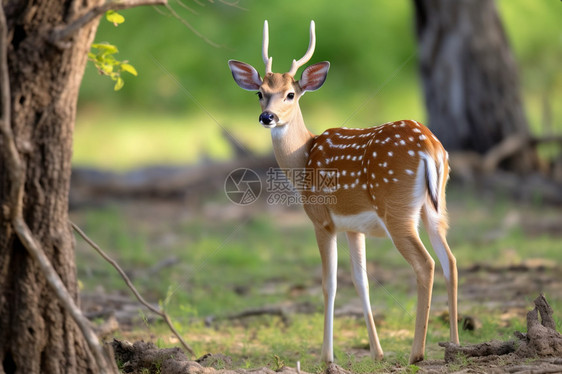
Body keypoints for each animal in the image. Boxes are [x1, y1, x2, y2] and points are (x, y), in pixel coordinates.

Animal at [229, 21, 460, 366]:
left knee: (426, 264)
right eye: (260, 93)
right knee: (451, 261)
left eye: (290, 94)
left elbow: (330, 284)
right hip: (435, 206)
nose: (267, 117)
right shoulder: (354, 227)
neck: (303, 160)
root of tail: (430, 147)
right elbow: (361, 282)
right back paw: (455, 345)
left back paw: (416, 352)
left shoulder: (322, 220)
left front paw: (327, 357)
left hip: (397, 208)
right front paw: (377, 352)